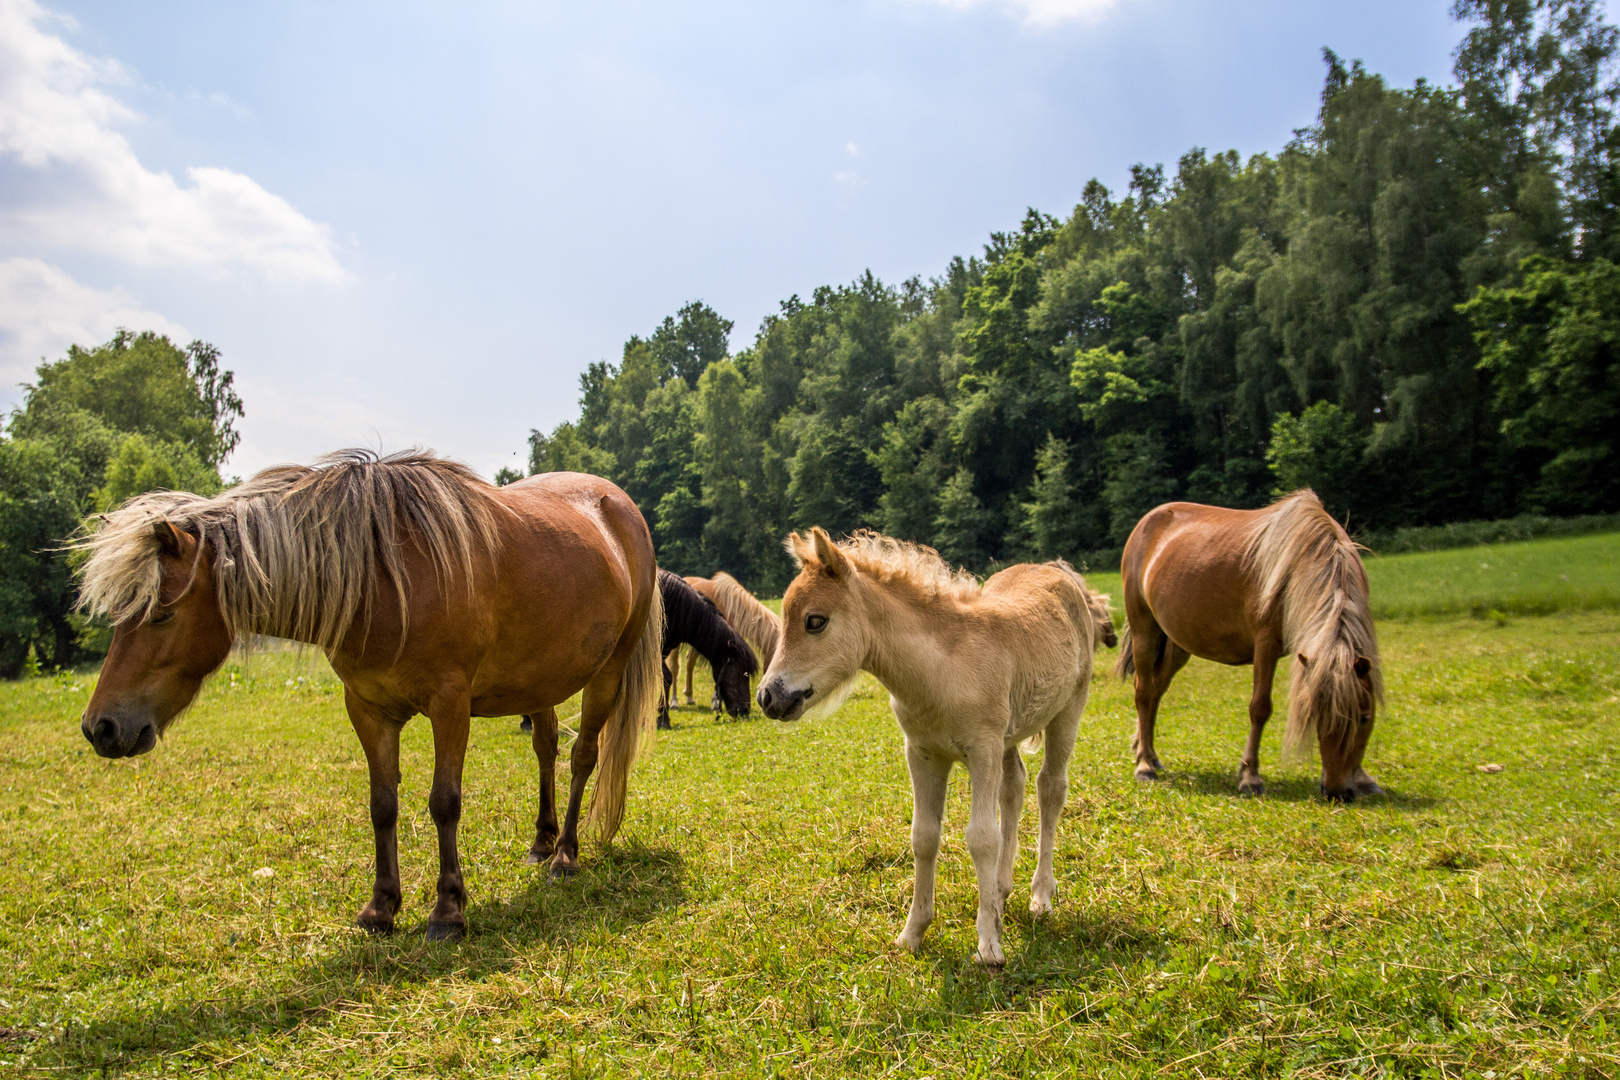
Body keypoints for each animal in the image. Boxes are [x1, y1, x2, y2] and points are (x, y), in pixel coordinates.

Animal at [78, 453, 660, 939]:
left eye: (162, 613)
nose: (100, 727)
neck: (383, 580)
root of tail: (620, 507)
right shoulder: (367, 708)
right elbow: (382, 805)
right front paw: (381, 908)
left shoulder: (450, 705)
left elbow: (444, 802)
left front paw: (448, 910)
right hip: (540, 681)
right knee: (546, 749)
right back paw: (541, 843)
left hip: (607, 672)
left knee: (582, 757)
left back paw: (565, 854)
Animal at [758, 527, 1101, 965]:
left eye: (815, 621)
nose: (768, 697)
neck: (941, 671)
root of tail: (1057, 571)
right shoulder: (923, 753)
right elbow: (923, 836)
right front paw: (913, 933)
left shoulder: (982, 750)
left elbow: (981, 837)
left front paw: (989, 945)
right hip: (1011, 734)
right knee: (1014, 788)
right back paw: (1000, 892)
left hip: (1069, 710)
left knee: (1050, 789)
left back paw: (1041, 896)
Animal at [1121, 488, 1386, 803]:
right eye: (1315, 717)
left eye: (1365, 718)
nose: (1338, 792)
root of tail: (1147, 522)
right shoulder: (1266, 643)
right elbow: (1260, 708)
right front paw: (1250, 777)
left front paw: (1364, 778)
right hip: (1144, 630)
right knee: (1144, 692)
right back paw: (1145, 765)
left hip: (1177, 642)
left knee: (1156, 690)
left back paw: (1147, 751)